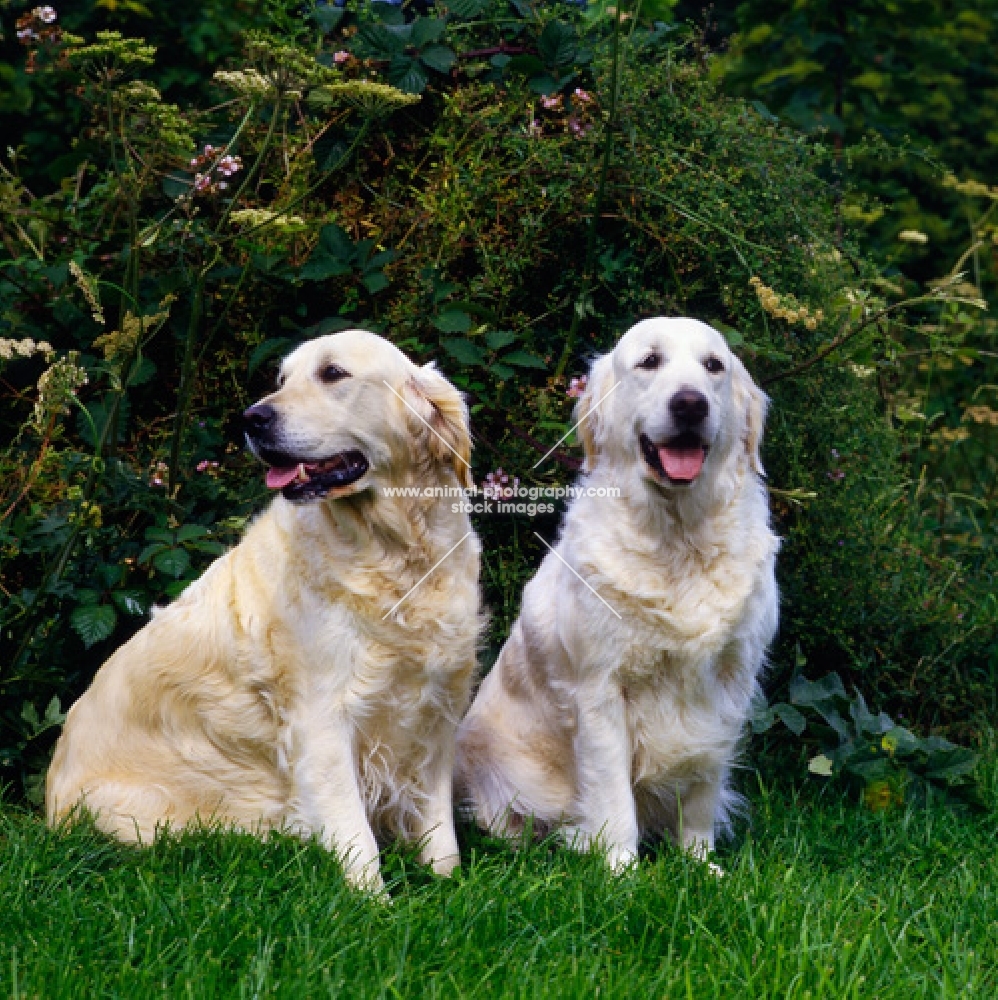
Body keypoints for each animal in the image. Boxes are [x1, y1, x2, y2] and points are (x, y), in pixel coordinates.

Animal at [48, 330, 482, 892]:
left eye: (333, 373)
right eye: (282, 378)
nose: (252, 418)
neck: (393, 554)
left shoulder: (436, 709)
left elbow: (439, 830)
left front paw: (451, 887)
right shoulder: (322, 720)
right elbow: (356, 835)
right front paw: (373, 905)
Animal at [456, 318, 780, 868]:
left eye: (713, 365)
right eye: (649, 361)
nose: (690, 403)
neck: (678, 541)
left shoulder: (728, 688)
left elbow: (702, 789)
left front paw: (700, 864)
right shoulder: (600, 690)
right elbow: (612, 795)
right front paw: (621, 870)